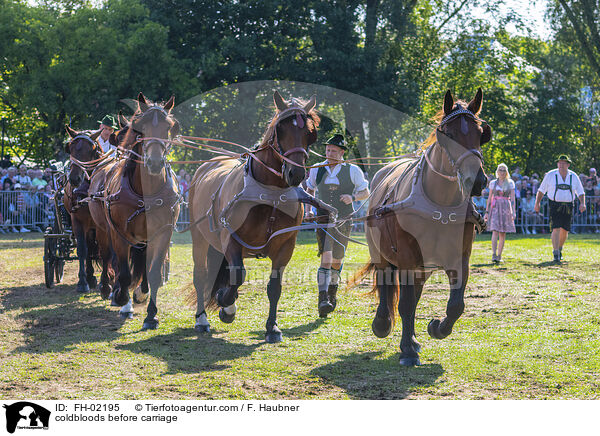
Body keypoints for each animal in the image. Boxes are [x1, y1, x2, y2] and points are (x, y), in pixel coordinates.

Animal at [88, 93, 179, 330]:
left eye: (169, 127)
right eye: (140, 128)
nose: (154, 162)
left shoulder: (162, 233)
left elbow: (153, 272)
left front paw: (150, 314)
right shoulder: (120, 233)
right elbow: (124, 272)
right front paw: (122, 299)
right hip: (103, 229)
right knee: (107, 256)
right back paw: (108, 289)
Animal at [191, 92, 326, 342]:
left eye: (310, 134)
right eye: (279, 129)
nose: (296, 173)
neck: (269, 193)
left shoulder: (285, 245)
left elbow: (274, 287)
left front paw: (272, 327)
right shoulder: (231, 239)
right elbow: (237, 276)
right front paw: (225, 302)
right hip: (200, 238)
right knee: (201, 275)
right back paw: (202, 319)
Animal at [354, 87, 490, 364]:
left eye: (480, 134)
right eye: (449, 135)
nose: (476, 181)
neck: (440, 205)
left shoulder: (460, 258)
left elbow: (456, 305)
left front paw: (436, 328)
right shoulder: (406, 259)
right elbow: (404, 303)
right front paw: (406, 349)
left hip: (422, 268)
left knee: (413, 295)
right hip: (382, 252)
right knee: (385, 282)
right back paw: (382, 323)